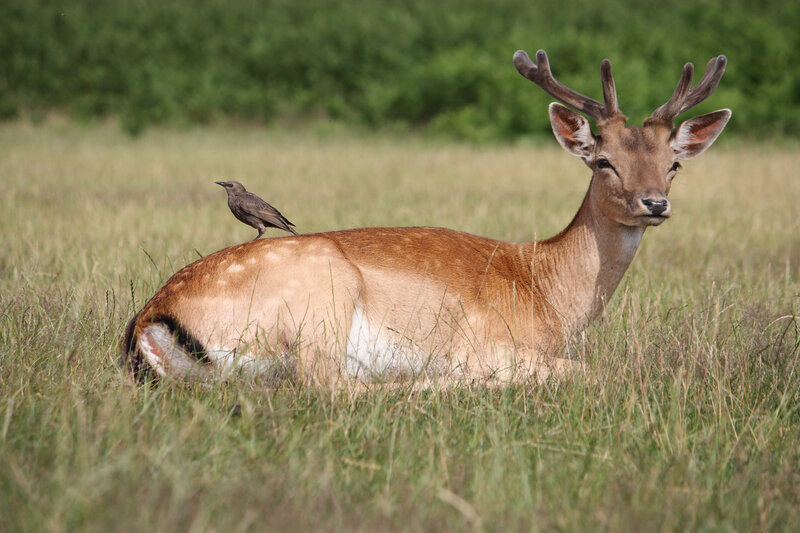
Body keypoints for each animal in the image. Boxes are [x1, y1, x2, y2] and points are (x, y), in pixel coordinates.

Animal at [120, 49, 731, 388]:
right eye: (604, 161)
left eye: (673, 163)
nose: (654, 203)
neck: (545, 290)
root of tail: (151, 320)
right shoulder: (496, 341)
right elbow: (591, 371)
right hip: (320, 301)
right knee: (327, 387)